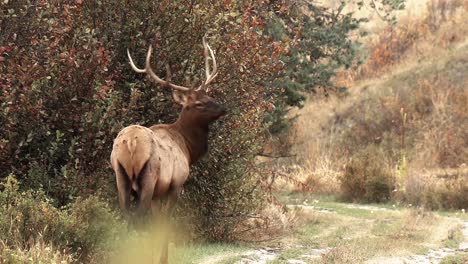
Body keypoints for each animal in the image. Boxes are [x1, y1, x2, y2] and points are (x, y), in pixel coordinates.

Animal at [110, 36, 226, 262]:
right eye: (198, 103)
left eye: (209, 96)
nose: (223, 108)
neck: (188, 149)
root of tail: (131, 142)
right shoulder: (176, 184)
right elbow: (165, 224)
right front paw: (162, 258)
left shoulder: (158, 193)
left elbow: (156, 224)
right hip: (149, 175)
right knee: (137, 217)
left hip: (121, 175)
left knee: (126, 215)